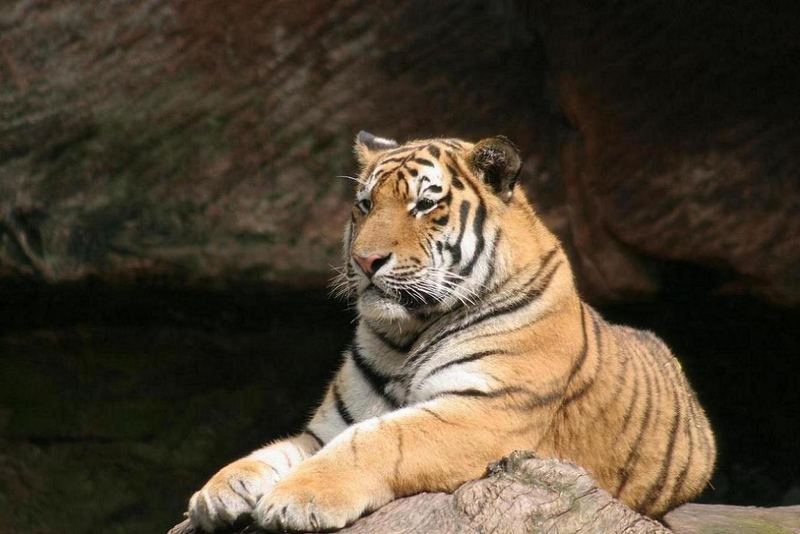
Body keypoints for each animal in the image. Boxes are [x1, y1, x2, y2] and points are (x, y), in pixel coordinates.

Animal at [188, 133, 720, 532]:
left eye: (424, 204)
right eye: (365, 204)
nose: (365, 260)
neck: (406, 335)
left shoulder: (482, 413)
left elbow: (376, 440)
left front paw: (295, 498)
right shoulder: (328, 427)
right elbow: (272, 453)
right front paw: (216, 492)